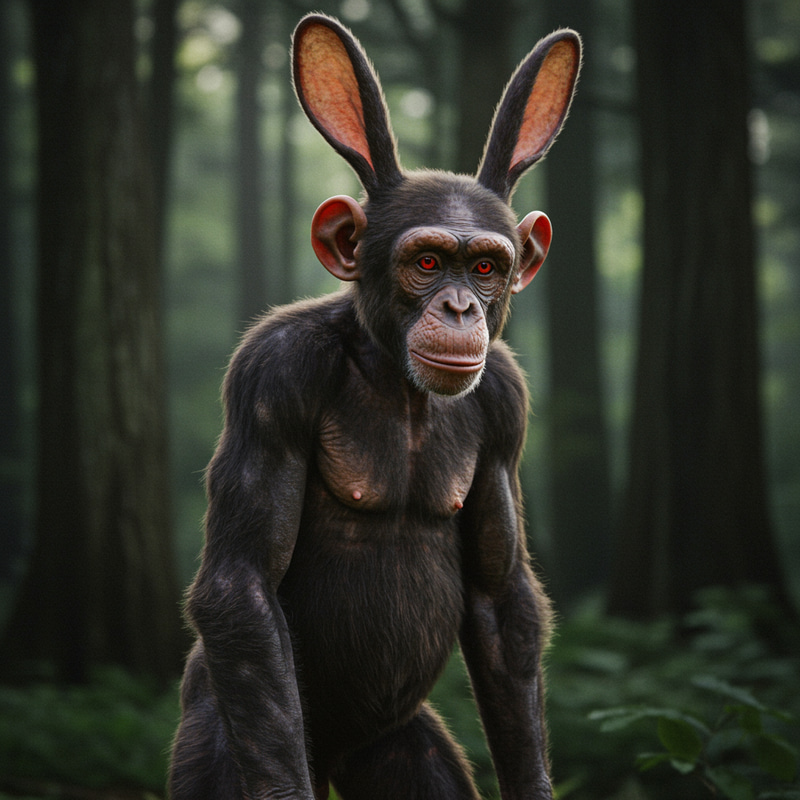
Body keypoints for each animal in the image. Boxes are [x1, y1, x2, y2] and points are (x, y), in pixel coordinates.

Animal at [169, 13, 581, 800]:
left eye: (487, 266)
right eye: (427, 262)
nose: (459, 308)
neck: (395, 376)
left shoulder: (507, 403)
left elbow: (500, 601)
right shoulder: (274, 372)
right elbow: (243, 585)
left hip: (397, 745)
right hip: (216, 728)